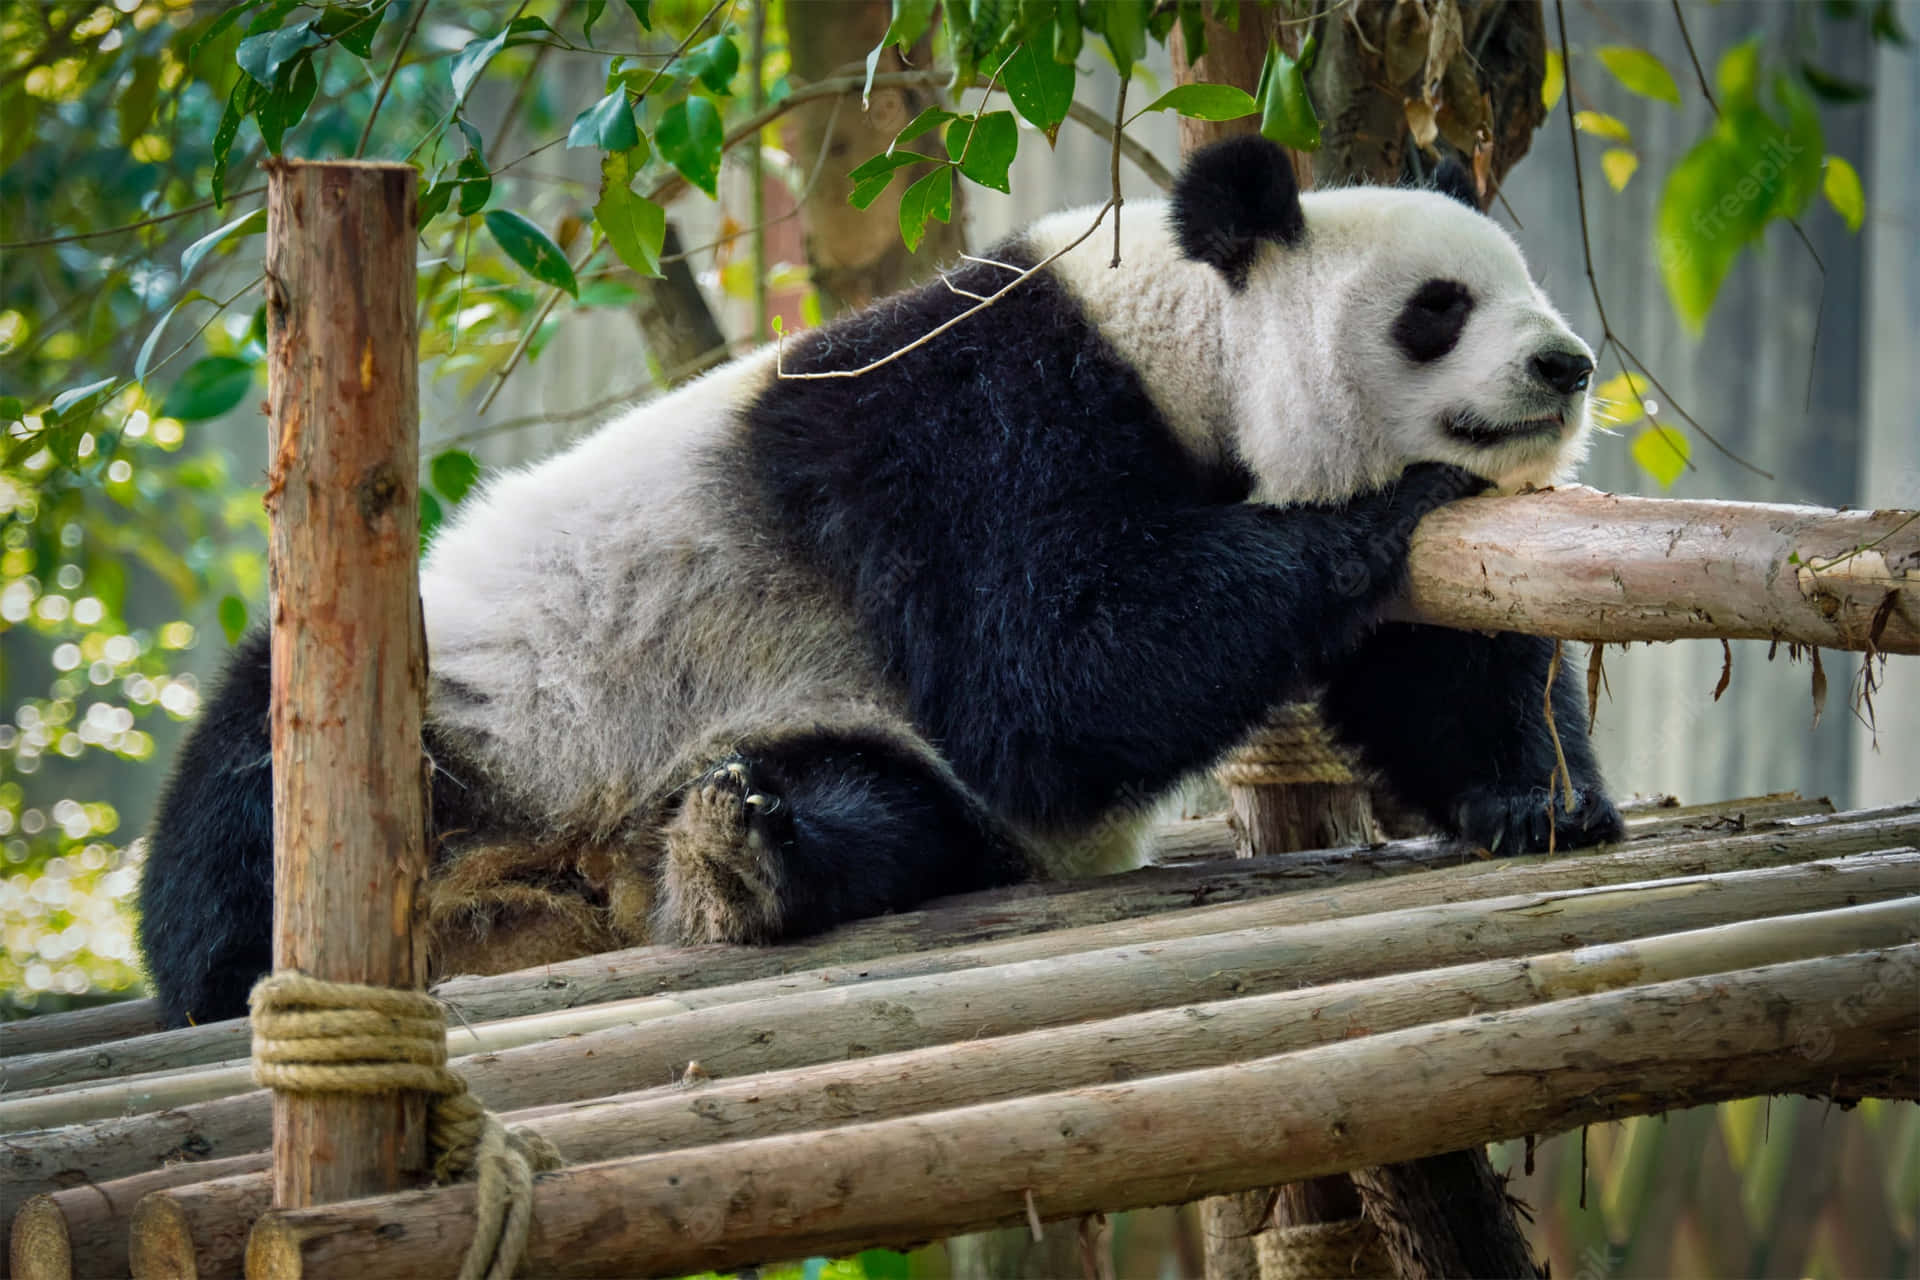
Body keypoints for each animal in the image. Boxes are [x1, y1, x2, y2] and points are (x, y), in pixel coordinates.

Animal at [135, 135, 1620, 1028]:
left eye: (1531, 286)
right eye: (1438, 308)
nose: (1566, 367)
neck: (1181, 334)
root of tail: (519, 894)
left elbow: (1432, 669)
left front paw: (1536, 801)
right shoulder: (975, 416)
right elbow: (1050, 679)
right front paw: (1395, 504)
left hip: (800, 740)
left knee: (887, 806)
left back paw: (745, 853)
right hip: (466, 700)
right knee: (245, 792)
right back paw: (243, 949)